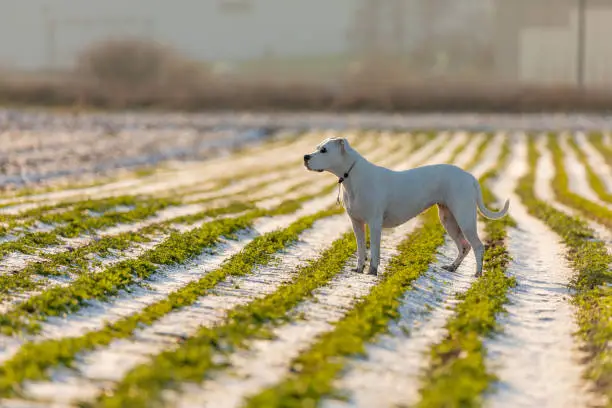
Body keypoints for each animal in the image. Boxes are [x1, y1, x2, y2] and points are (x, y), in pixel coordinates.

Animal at [304, 138, 510, 278]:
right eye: (316, 147)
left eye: (324, 150)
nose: (305, 157)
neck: (352, 176)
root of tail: (470, 176)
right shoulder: (356, 223)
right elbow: (361, 249)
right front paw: (359, 269)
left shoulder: (374, 223)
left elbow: (375, 250)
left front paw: (371, 273)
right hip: (448, 219)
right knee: (464, 246)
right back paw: (452, 267)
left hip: (464, 218)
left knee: (478, 246)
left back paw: (477, 274)